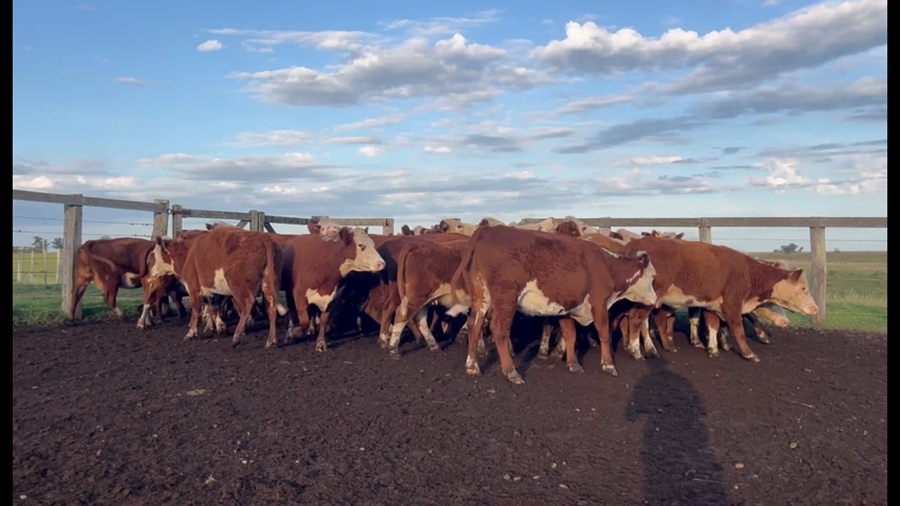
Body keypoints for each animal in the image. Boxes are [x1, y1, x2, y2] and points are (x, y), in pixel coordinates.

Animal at [150, 226, 288, 348]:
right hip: (268, 284)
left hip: (238, 285)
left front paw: (191, 333)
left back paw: (236, 337)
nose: (151, 271)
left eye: (154, 255)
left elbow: (196, 309)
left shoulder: (193, 286)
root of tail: (264, 238)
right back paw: (271, 341)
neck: (188, 252)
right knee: (271, 308)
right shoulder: (213, 290)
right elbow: (214, 306)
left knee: (248, 303)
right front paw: (217, 327)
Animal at [449, 225, 657, 383]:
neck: (607, 266)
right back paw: (511, 372)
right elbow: (604, 334)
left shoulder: (566, 308)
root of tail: (488, 230)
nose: (655, 300)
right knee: (499, 329)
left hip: (482, 296)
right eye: (653, 276)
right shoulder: (599, 304)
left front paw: (574, 364)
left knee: (474, 324)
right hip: (506, 298)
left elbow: (570, 335)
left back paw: (472, 366)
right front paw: (608, 365)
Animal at [621, 236, 818, 362]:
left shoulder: (712, 305)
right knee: (638, 319)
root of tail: (635, 244)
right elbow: (738, 330)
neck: (748, 272)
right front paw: (749, 353)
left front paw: (713, 349)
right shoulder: (732, 304)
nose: (815, 309)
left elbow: (713, 325)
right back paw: (638, 351)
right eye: (803, 288)